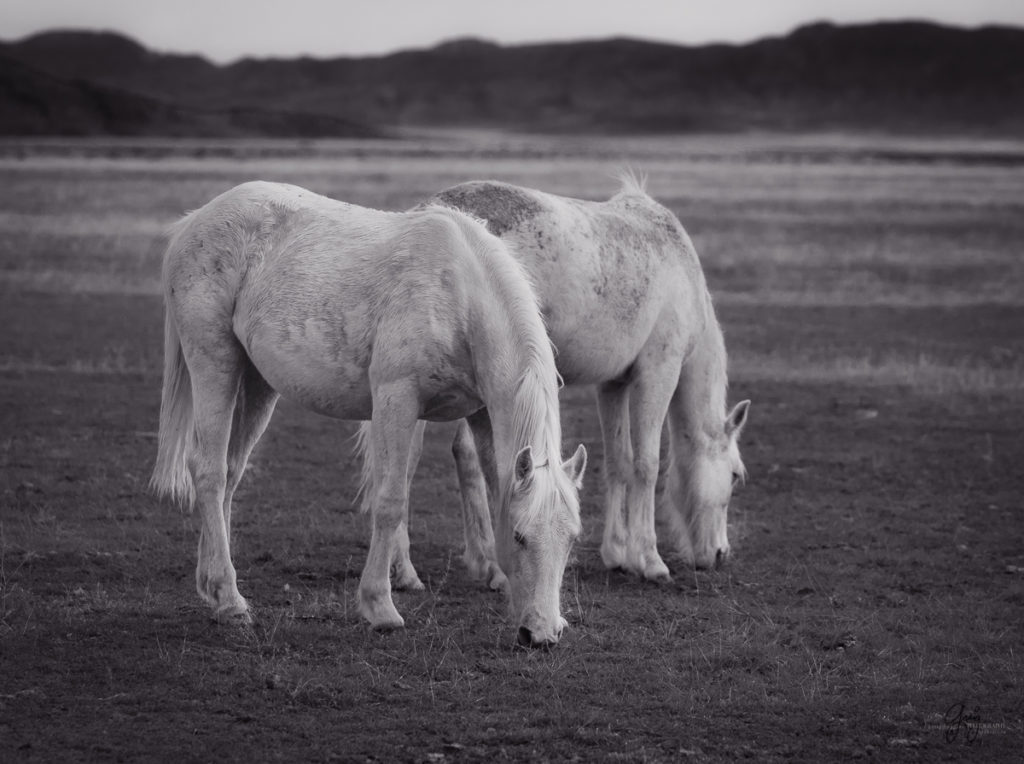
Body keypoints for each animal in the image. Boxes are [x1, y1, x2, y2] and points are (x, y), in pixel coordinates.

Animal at [148, 181, 589, 647]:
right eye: (520, 537)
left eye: (571, 540)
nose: (542, 634)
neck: (460, 296)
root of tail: (195, 220)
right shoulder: (397, 400)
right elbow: (390, 500)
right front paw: (380, 606)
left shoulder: (483, 414)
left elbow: (491, 489)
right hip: (214, 362)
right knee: (209, 471)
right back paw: (230, 600)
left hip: (257, 382)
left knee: (231, 473)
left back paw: (211, 585)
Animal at [387, 175, 749, 585]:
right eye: (735, 476)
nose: (720, 554)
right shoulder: (658, 371)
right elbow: (647, 464)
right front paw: (650, 560)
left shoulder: (613, 384)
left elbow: (619, 461)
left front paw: (617, 554)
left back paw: (450, 566)